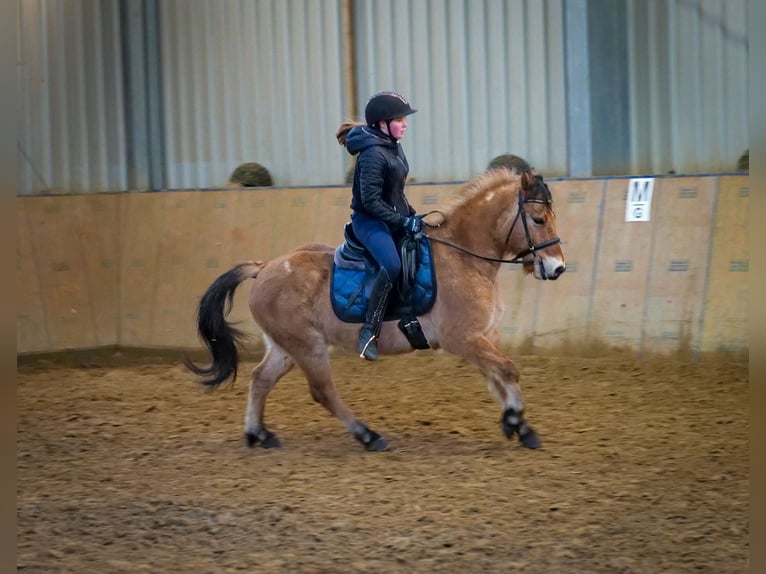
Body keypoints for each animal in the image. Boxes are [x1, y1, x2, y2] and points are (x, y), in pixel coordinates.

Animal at [186, 169, 568, 452]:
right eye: (537, 219)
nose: (558, 268)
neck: (464, 258)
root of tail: (264, 267)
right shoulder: (463, 338)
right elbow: (508, 370)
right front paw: (516, 420)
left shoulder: (485, 336)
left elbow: (498, 376)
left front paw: (518, 424)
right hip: (307, 345)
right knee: (322, 391)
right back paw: (368, 435)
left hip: (286, 346)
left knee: (260, 379)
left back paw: (259, 434)